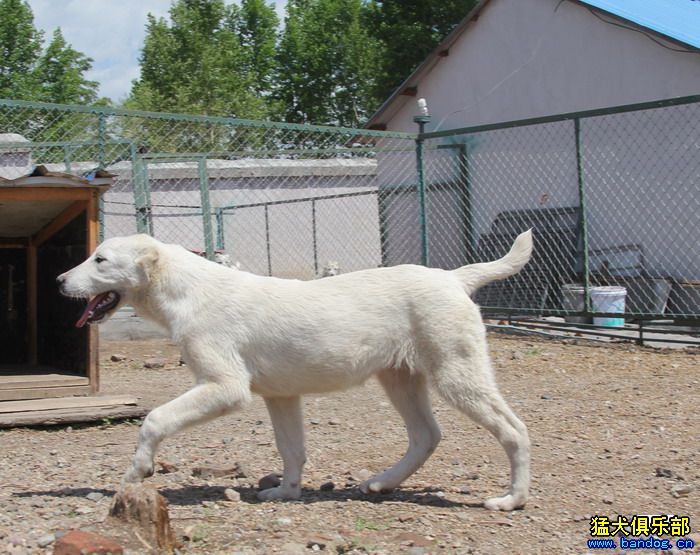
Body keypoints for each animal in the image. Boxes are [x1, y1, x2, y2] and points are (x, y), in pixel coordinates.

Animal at [57, 231, 532, 512]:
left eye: (100, 260)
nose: (59, 281)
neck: (188, 289)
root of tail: (452, 278)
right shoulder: (280, 396)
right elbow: (291, 449)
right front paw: (286, 493)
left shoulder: (225, 387)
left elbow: (155, 419)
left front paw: (137, 471)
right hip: (400, 379)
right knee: (425, 436)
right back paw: (381, 484)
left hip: (458, 375)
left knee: (514, 430)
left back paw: (513, 498)